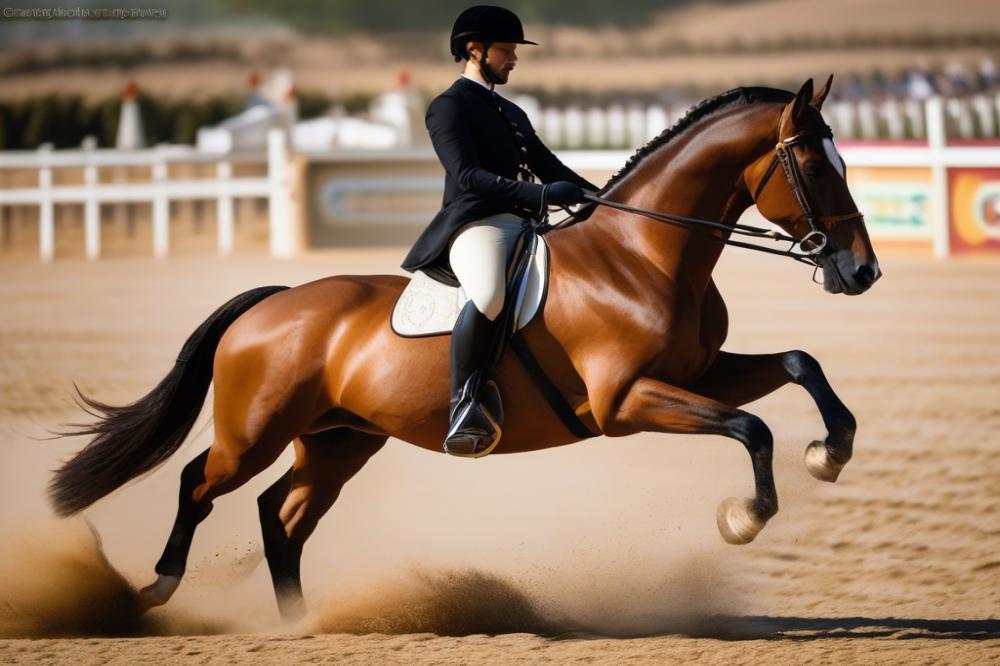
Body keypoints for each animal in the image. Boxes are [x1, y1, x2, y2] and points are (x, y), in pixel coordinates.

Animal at [52, 75, 884, 620]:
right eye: (816, 165)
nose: (861, 272)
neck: (645, 254)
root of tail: (272, 304)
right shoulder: (627, 403)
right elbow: (753, 425)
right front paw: (745, 516)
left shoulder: (701, 373)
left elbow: (798, 368)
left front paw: (831, 451)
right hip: (255, 432)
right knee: (199, 482)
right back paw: (153, 590)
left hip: (339, 440)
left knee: (280, 517)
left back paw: (299, 624)